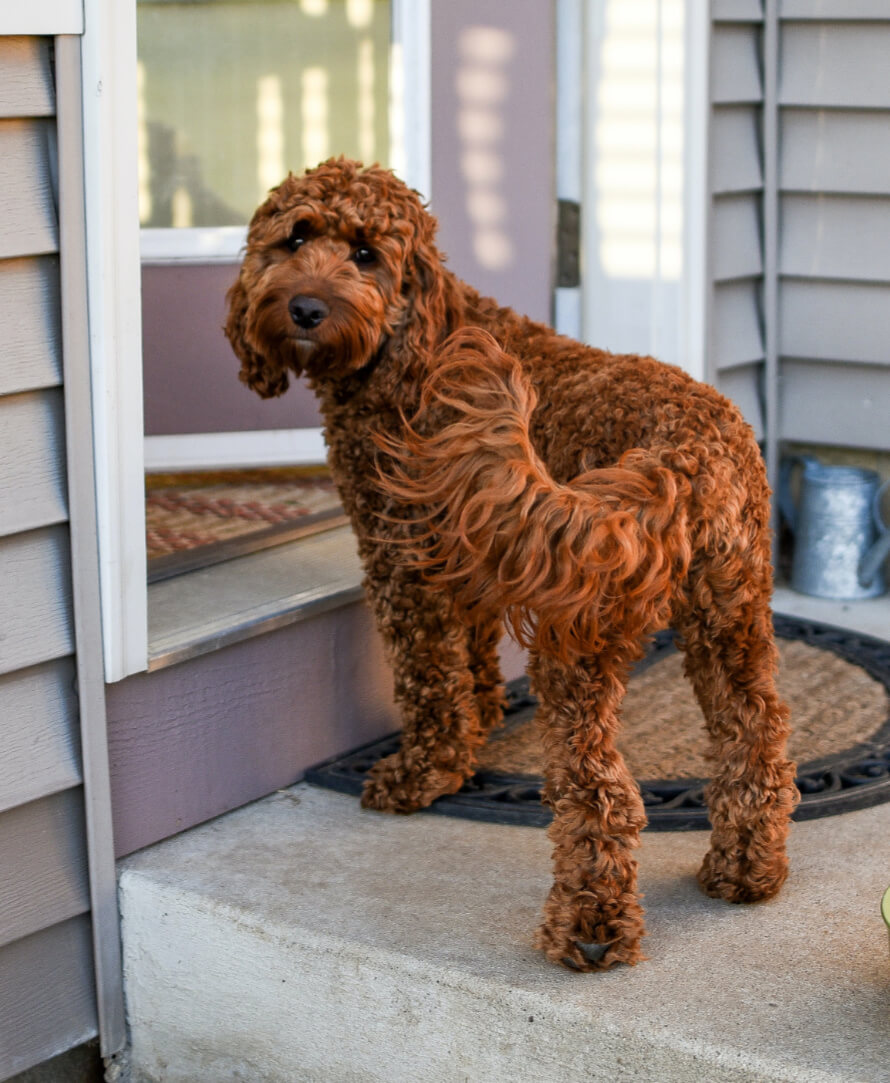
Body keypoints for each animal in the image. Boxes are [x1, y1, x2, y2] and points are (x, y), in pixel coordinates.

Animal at [226, 158, 796, 974]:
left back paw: (589, 927)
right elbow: (471, 655)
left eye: (367, 255)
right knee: (756, 736)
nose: (305, 308)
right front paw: (485, 720)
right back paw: (747, 869)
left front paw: (424, 771)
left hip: (582, 642)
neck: (413, 345)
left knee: (600, 791)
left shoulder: (399, 558)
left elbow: (428, 678)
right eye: (296, 237)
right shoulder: (470, 552)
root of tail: (680, 459)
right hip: (732, 614)